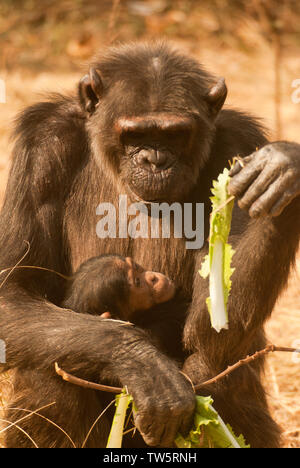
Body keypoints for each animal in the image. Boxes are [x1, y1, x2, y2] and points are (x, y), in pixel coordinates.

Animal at [0, 42, 300, 448]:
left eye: (174, 134)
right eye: (134, 133)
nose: (154, 159)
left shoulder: (240, 143)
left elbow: (215, 322)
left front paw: (282, 170)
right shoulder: (42, 148)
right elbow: (13, 292)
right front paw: (140, 362)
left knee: (218, 369)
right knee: (47, 369)